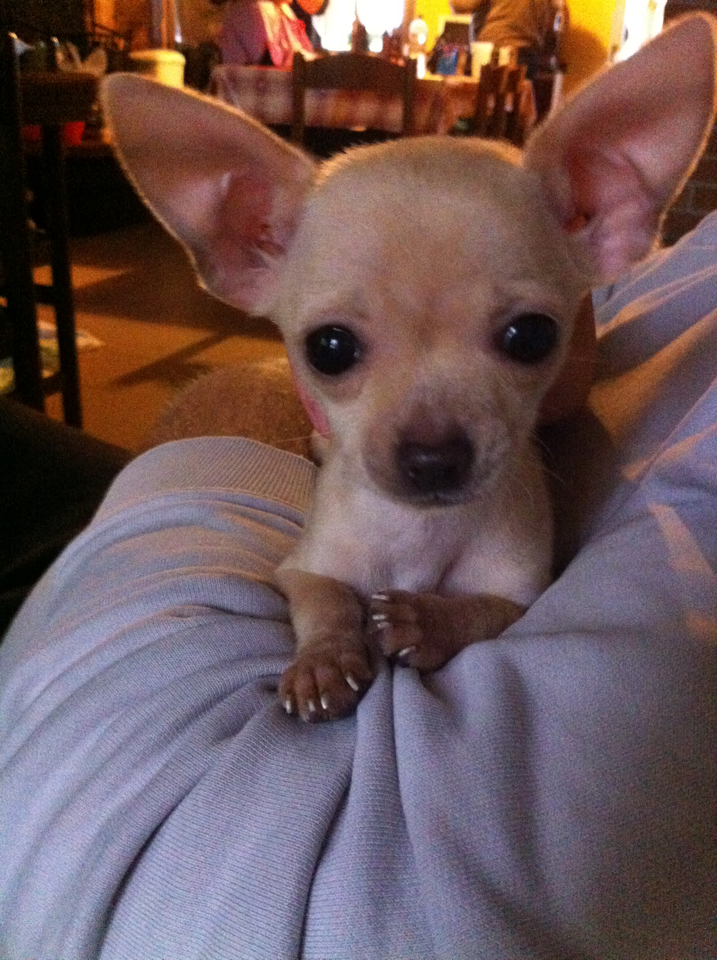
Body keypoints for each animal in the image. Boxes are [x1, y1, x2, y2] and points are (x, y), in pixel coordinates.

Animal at [101, 14, 716, 721]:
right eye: (328, 348)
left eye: (532, 337)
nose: (433, 458)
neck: (420, 532)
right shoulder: (302, 568)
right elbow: (325, 599)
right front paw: (324, 662)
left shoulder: (523, 596)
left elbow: (481, 611)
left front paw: (427, 620)